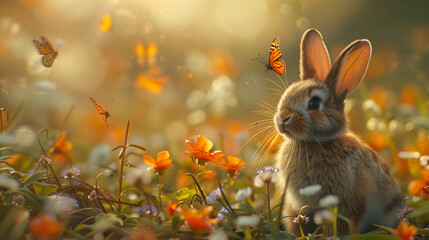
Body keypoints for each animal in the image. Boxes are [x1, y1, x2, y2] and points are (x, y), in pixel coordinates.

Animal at [272, 28, 402, 236]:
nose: (283, 118)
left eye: (314, 103)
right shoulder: (297, 205)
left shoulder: (346, 202)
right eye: (287, 95)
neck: (315, 142)